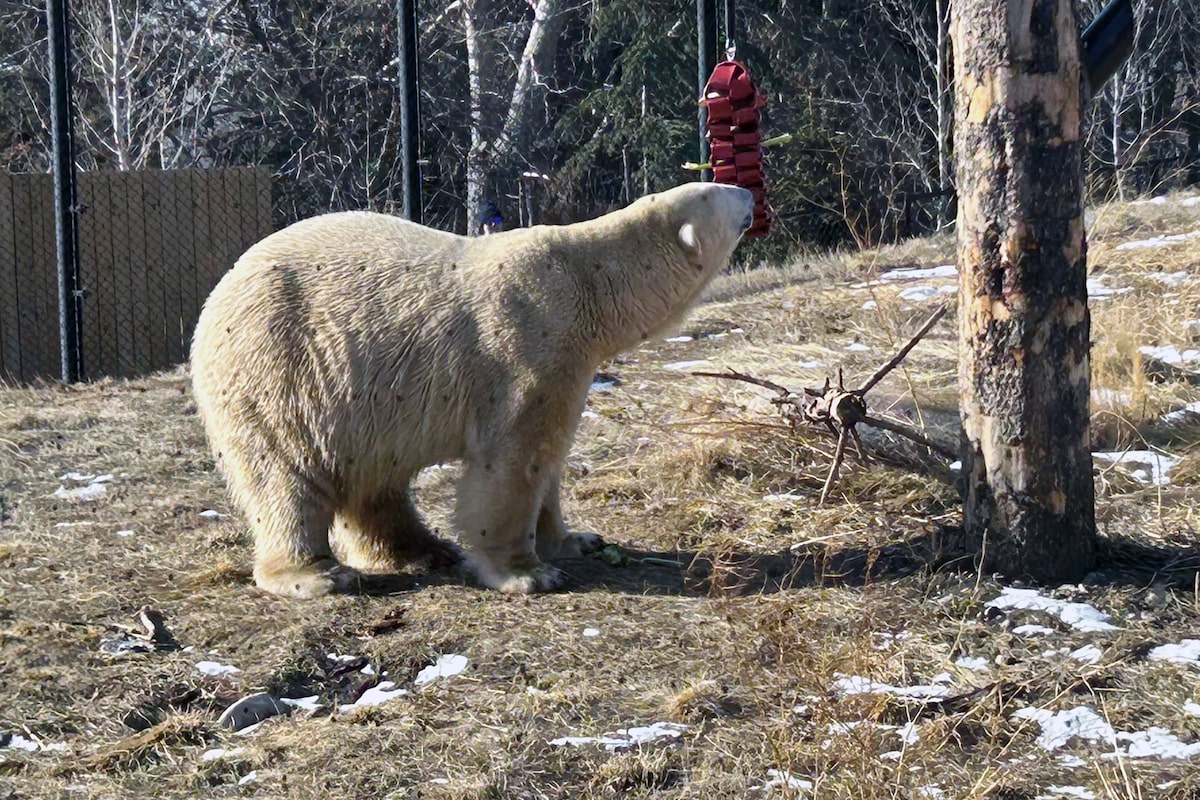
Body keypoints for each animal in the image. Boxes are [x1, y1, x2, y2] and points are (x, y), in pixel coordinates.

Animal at [190, 181, 755, 598]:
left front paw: (576, 539)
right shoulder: (528, 340)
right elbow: (513, 460)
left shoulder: (572, 363)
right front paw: (527, 573)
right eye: (718, 188)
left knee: (373, 478)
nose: (750, 192)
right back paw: (318, 574)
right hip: (278, 371)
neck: (588, 279)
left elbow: (550, 460)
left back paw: (421, 548)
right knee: (286, 475)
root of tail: (216, 297)